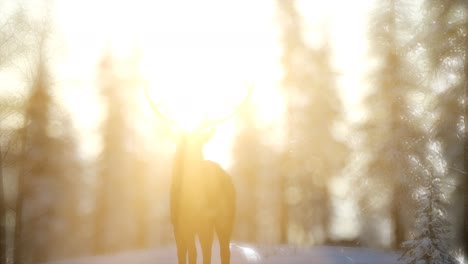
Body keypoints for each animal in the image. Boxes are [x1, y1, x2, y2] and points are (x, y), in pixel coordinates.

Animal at [144, 85, 252, 264]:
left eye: (198, 143)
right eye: (179, 141)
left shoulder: (199, 221)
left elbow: (195, 253)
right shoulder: (177, 223)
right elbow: (183, 254)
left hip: (222, 217)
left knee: (218, 251)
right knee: (215, 251)